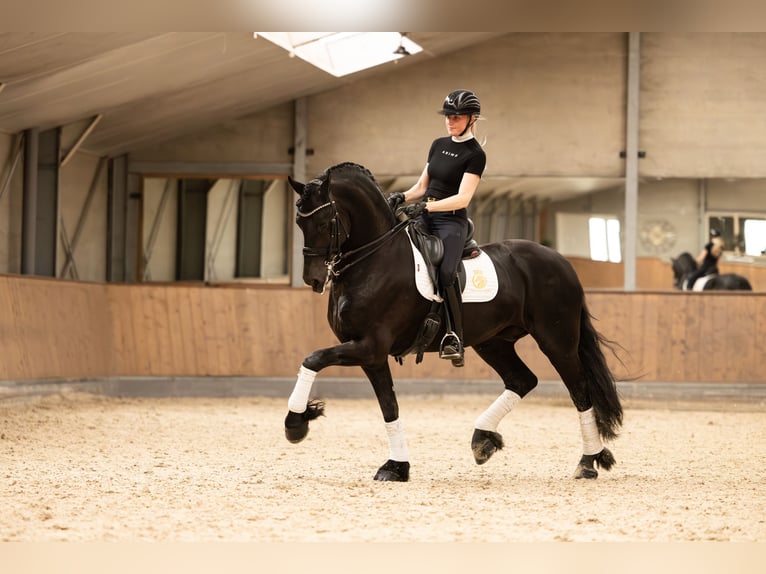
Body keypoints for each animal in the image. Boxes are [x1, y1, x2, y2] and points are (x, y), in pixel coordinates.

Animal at [282, 162, 624, 482]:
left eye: (324, 222)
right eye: (299, 221)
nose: (313, 279)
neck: (375, 258)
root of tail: (561, 261)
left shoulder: (369, 346)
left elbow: (313, 358)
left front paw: (296, 423)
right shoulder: (371, 354)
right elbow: (389, 407)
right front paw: (396, 467)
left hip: (557, 341)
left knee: (580, 392)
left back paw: (587, 462)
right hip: (494, 342)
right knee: (523, 380)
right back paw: (483, 440)